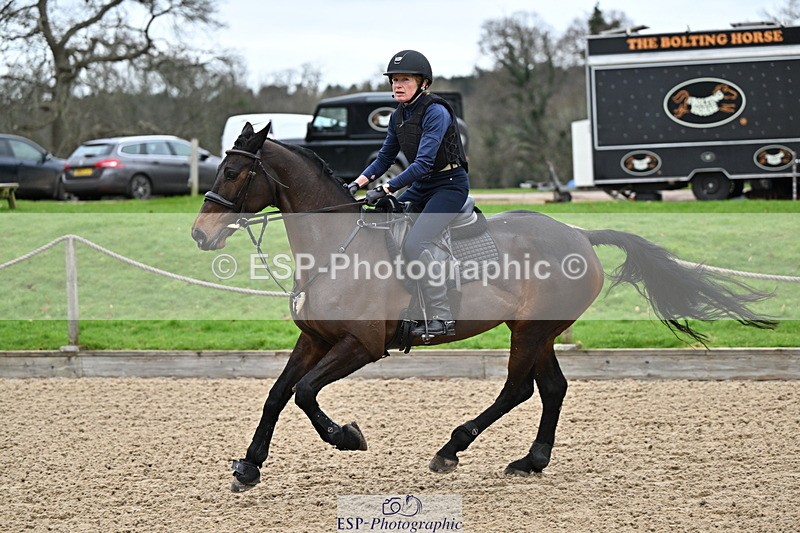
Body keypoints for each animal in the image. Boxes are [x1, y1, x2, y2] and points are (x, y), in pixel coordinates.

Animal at [191, 123, 775, 493]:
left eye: (234, 174)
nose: (199, 234)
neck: (337, 247)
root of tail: (579, 234)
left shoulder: (362, 345)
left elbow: (306, 393)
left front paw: (347, 438)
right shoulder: (315, 338)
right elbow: (277, 394)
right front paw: (249, 467)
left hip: (531, 332)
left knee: (518, 389)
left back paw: (452, 449)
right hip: (537, 331)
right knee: (552, 388)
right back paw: (530, 461)